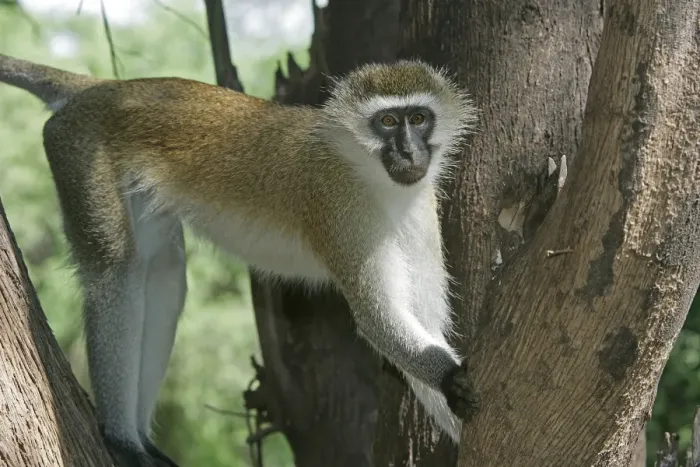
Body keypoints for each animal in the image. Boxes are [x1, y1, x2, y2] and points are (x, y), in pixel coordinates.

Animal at [0, 54, 479, 466]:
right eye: (387, 121)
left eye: (419, 118)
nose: (409, 152)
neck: (370, 173)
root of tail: (108, 88)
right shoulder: (340, 208)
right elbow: (378, 320)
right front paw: (451, 378)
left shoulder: (421, 212)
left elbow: (422, 322)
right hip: (79, 150)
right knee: (117, 270)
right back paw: (122, 441)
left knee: (163, 272)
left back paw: (140, 439)